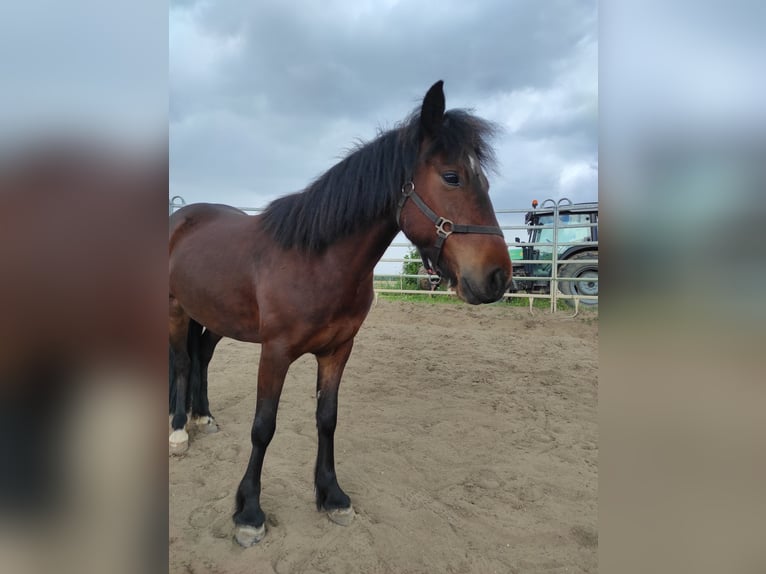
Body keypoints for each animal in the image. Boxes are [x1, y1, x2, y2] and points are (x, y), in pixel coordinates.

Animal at [171, 80, 512, 544]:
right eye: (452, 177)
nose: (498, 276)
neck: (317, 260)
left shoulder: (338, 350)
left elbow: (327, 418)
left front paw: (331, 495)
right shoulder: (274, 353)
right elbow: (263, 426)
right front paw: (249, 512)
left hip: (214, 318)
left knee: (201, 358)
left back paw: (202, 417)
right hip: (175, 310)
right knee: (180, 361)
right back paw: (177, 430)